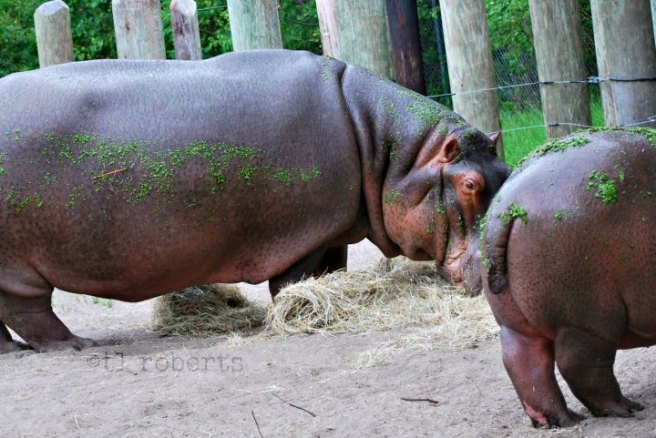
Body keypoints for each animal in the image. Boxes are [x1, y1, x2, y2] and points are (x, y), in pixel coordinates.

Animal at [0, 49, 508, 353]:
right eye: (469, 185)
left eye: (505, 173)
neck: (389, 150)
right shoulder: (303, 234)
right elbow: (294, 282)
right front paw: (297, 313)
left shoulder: (333, 229)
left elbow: (333, 272)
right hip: (18, 264)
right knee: (28, 310)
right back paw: (76, 344)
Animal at [481, 128, 656, 427]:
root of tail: (507, 207)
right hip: (588, 319)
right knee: (581, 366)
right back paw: (625, 408)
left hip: (516, 323)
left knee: (525, 364)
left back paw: (561, 420)